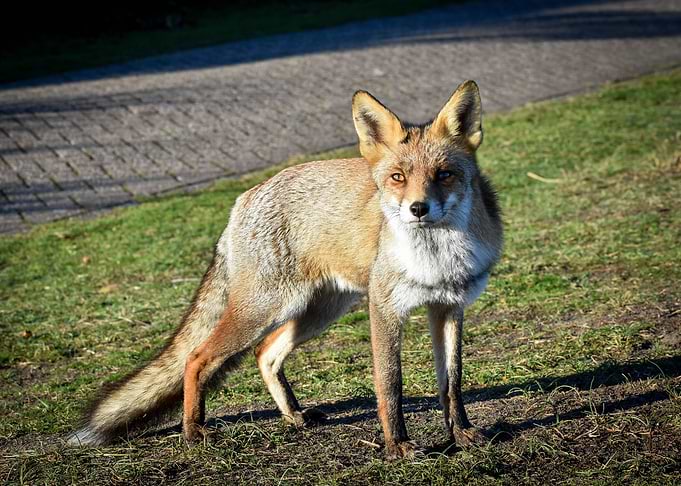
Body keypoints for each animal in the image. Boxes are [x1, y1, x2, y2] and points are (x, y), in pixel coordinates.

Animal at [68, 80, 502, 459]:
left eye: (444, 174)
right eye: (398, 177)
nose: (417, 209)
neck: (437, 259)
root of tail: (244, 198)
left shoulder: (448, 307)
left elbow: (452, 383)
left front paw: (461, 434)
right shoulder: (385, 309)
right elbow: (389, 385)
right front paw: (397, 446)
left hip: (315, 311)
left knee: (265, 354)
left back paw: (292, 415)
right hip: (265, 308)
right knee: (196, 357)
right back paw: (194, 431)